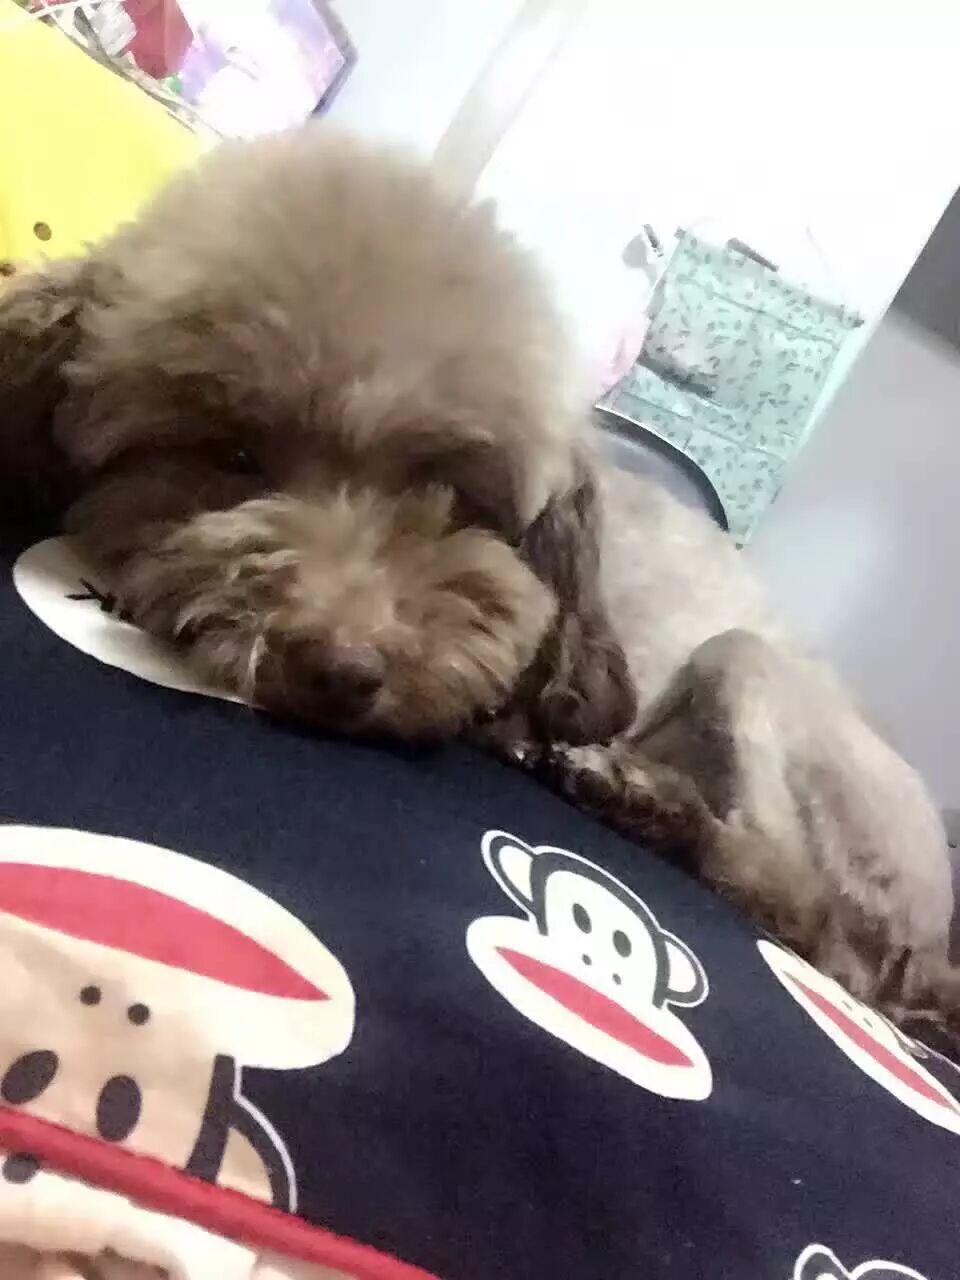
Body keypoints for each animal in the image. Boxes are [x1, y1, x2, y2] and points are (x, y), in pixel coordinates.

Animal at [0, 125, 952, 1042]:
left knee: (803, 908)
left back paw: (640, 801)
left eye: (451, 494)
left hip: (751, 669)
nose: (343, 671)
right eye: (230, 454)